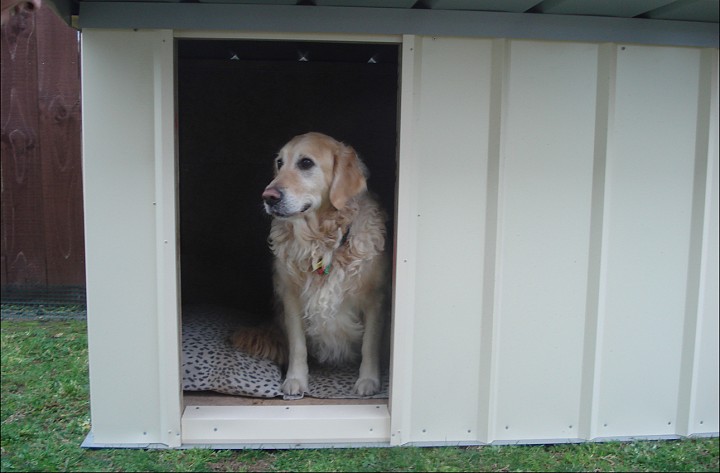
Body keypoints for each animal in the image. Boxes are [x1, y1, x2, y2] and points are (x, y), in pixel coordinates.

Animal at [235, 131, 388, 396]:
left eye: (306, 163)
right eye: (279, 163)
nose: (268, 197)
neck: (322, 241)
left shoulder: (374, 298)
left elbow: (370, 344)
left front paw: (368, 380)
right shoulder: (291, 296)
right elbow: (298, 345)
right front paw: (295, 379)